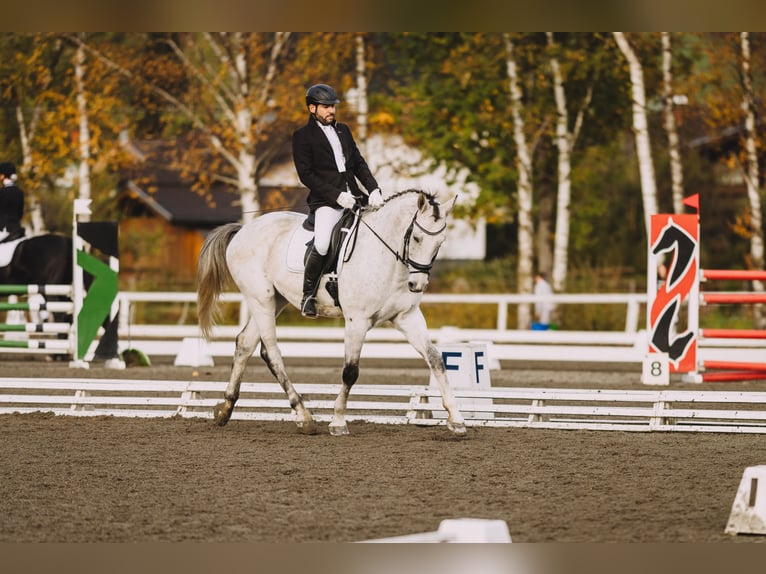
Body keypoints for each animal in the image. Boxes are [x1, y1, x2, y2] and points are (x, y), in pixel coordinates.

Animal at [198, 188, 468, 436]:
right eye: (417, 239)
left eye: (440, 243)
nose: (417, 285)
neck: (387, 258)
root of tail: (244, 230)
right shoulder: (357, 320)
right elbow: (350, 372)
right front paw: (338, 421)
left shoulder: (407, 316)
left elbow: (436, 359)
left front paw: (456, 419)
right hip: (260, 298)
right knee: (272, 352)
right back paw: (303, 416)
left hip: (275, 300)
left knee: (245, 344)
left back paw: (226, 409)